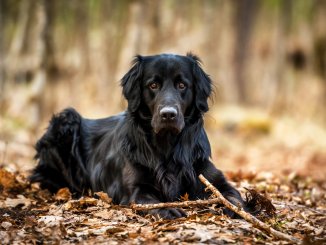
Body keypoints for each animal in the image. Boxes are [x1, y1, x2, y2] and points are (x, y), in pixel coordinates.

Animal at [29, 53, 251, 218]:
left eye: (182, 85)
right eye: (153, 85)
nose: (168, 114)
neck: (167, 145)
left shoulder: (212, 178)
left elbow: (233, 195)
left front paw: (234, 209)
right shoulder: (136, 188)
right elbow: (152, 202)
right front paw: (170, 210)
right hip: (66, 119)